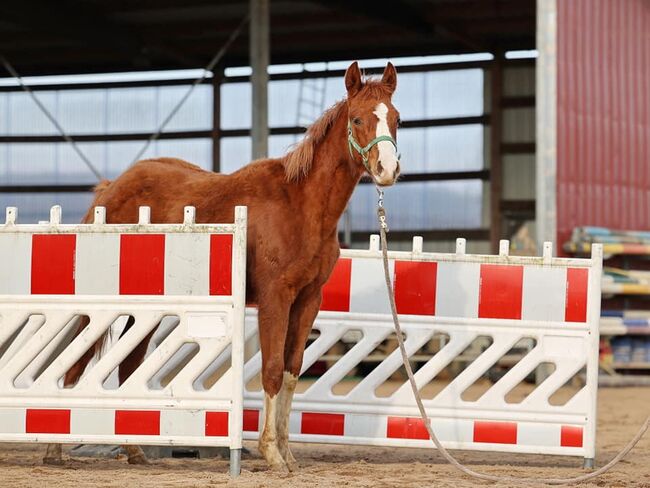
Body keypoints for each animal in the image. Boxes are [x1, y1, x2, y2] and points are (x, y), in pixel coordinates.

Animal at [43, 60, 398, 468]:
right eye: (357, 119)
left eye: (396, 118)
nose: (388, 169)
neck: (300, 205)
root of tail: (109, 190)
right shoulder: (275, 298)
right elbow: (272, 370)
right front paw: (271, 454)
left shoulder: (308, 300)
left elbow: (291, 371)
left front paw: (288, 453)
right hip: (98, 304)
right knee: (75, 360)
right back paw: (55, 448)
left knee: (129, 364)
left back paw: (134, 450)